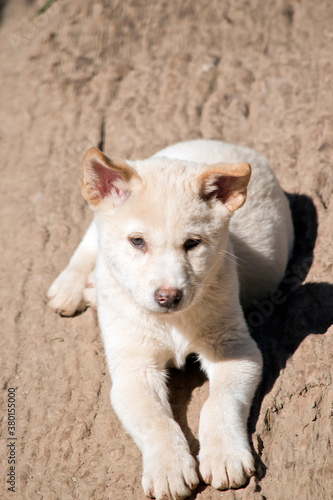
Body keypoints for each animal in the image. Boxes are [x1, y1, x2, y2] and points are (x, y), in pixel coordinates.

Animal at [47, 139, 294, 498]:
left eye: (192, 244)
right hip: (98, 220)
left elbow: (220, 403)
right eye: (137, 241)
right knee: (90, 245)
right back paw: (72, 287)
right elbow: (157, 422)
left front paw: (224, 455)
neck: (171, 322)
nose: (169, 297)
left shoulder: (234, 348)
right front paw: (169, 467)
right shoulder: (134, 369)